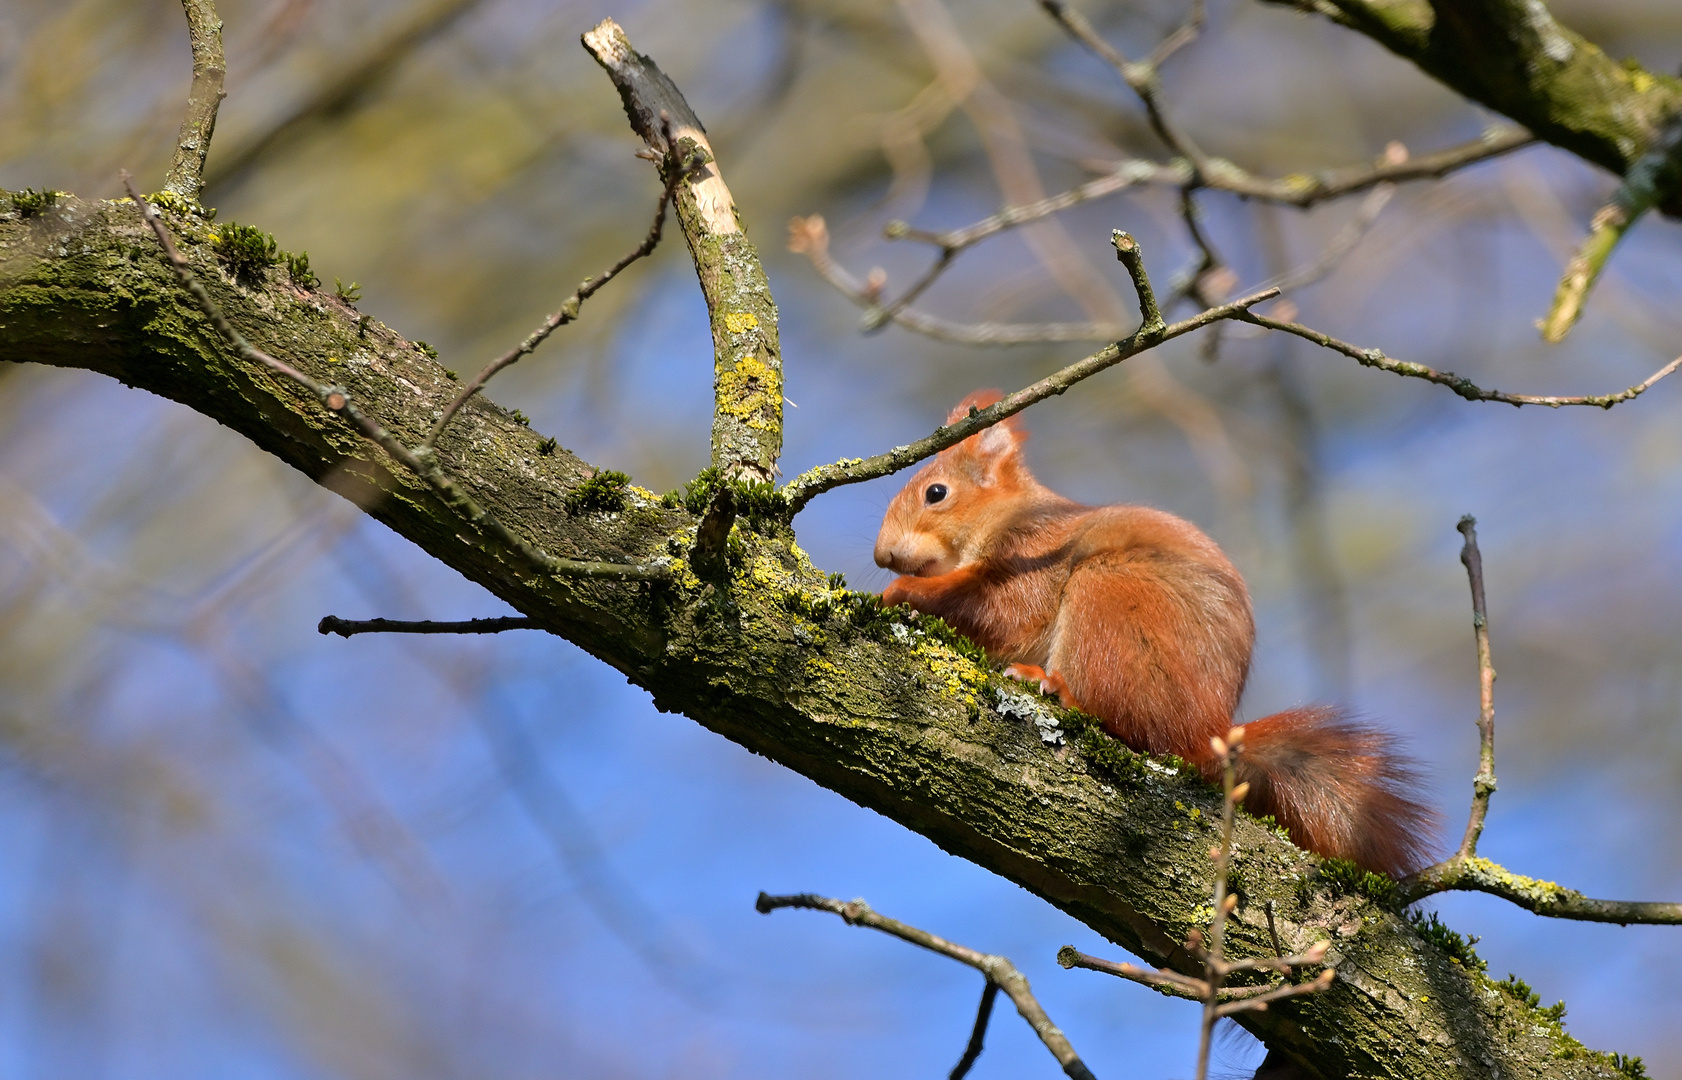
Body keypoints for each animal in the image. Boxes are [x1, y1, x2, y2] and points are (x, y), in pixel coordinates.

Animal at [874, 388, 1439, 874]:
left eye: (936, 493)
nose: (883, 556)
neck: (1005, 517)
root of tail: (1206, 735)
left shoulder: (1032, 556)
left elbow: (998, 609)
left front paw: (901, 592)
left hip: (1110, 602)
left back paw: (1054, 685)